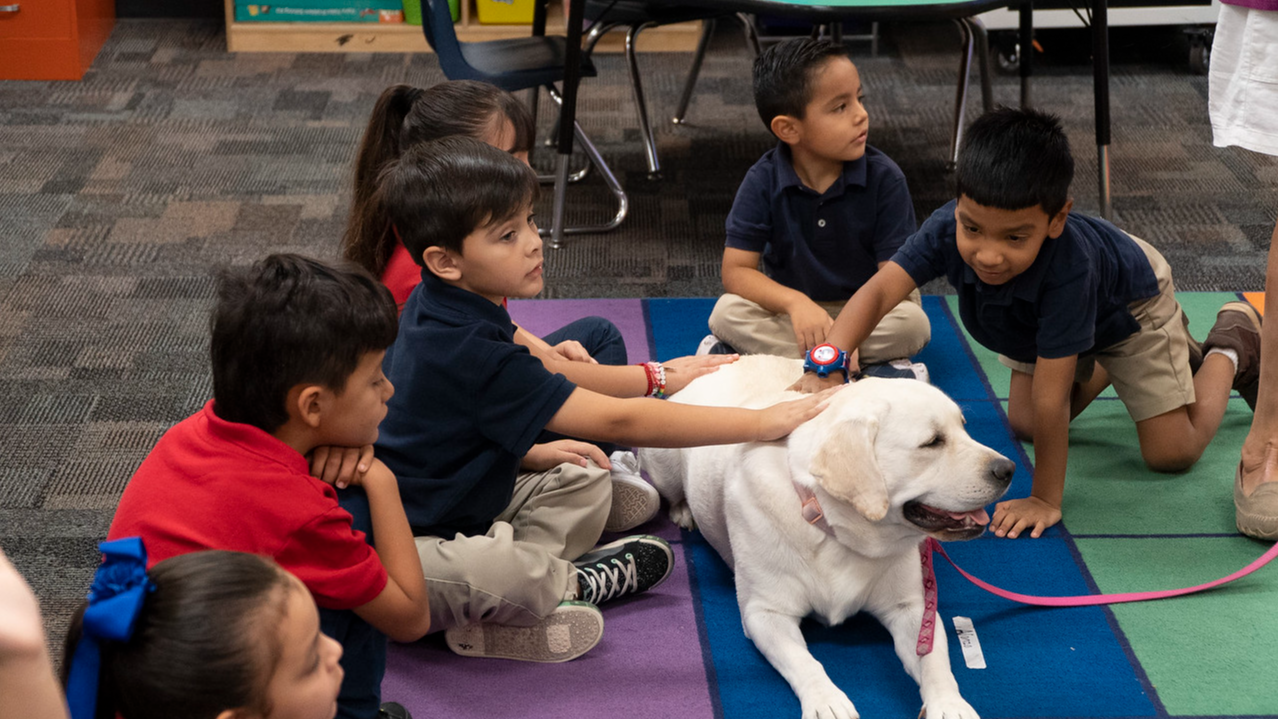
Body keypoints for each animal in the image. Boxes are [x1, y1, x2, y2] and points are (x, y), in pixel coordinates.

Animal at [644, 353, 1012, 716]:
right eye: (933, 441)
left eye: (963, 427)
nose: (1008, 469)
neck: (837, 530)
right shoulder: (764, 613)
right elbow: (805, 662)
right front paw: (826, 700)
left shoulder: (912, 608)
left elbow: (935, 662)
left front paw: (950, 705)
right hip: (664, 457)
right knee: (672, 490)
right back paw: (684, 511)